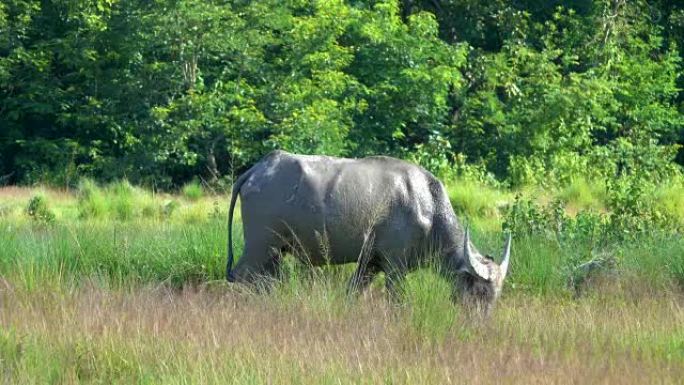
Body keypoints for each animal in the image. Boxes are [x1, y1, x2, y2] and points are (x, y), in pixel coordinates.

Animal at [227, 150, 510, 308]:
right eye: (481, 291)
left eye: (497, 295)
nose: (480, 324)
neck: (429, 208)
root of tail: (256, 170)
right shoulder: (395, 268)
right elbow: (398, 301)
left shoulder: (370, 264)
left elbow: (353, 293)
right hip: (260, 246)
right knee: (242, 276)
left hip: (275, 251)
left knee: (267, 280)